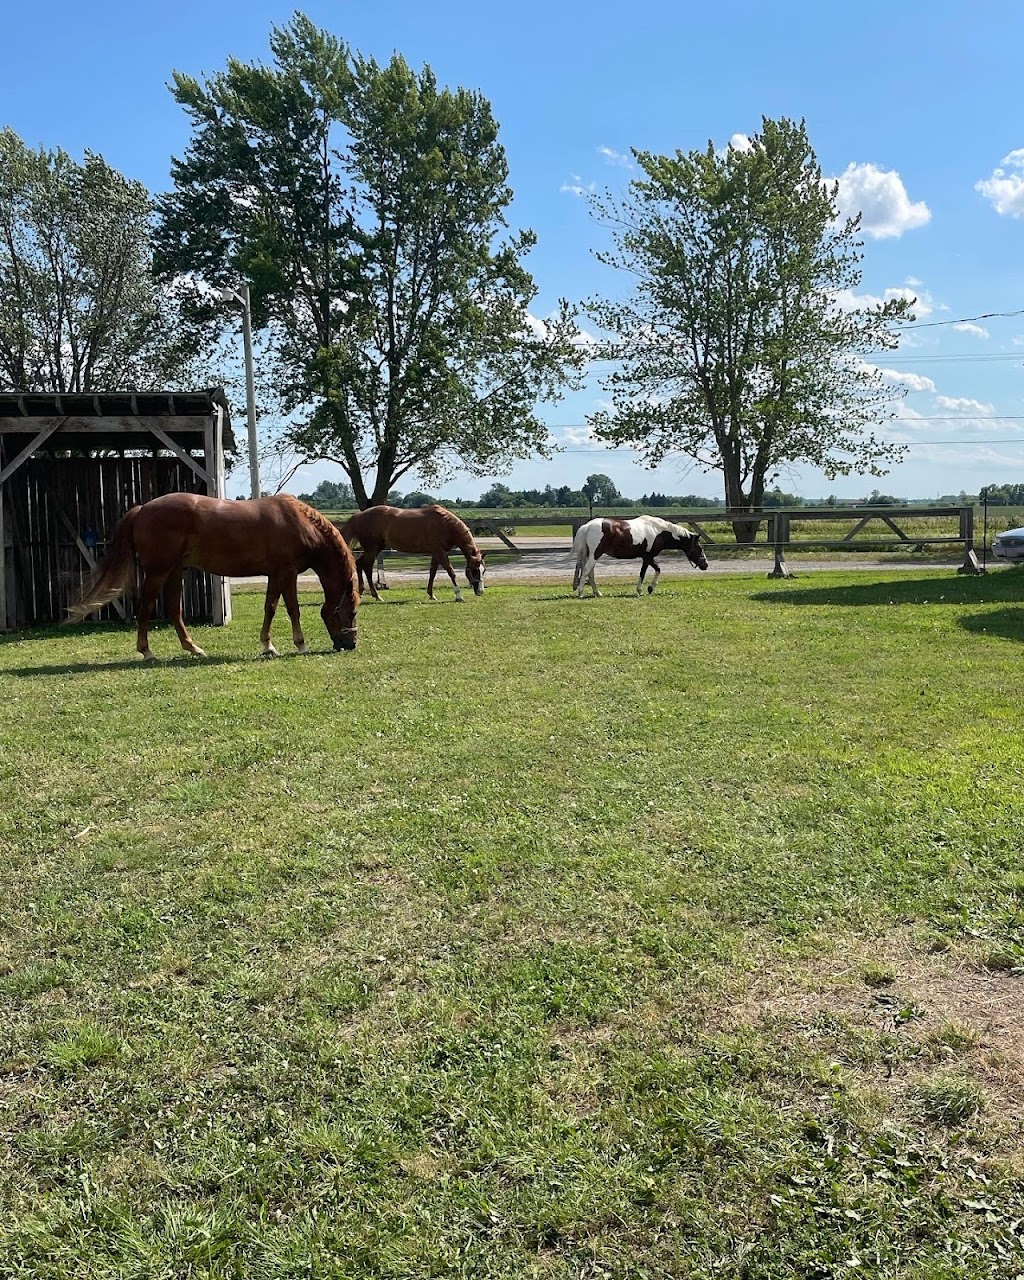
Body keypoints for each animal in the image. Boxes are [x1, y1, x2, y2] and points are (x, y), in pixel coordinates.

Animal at [63, 491, 360, 660]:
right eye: (352, 611)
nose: (351, 644)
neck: (300, 523)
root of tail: (142, 509)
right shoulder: (286, 573)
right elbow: (292, 609)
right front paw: (300, 645)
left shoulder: (275, 575)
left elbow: (270, 608)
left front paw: (268, 645)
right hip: (158, 572)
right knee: (146, 609)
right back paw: (147, 652)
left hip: (175, 571)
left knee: (174, 611)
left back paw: (193, 649)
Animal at [337, 501, 486, 601]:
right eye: (474, 570)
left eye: (483, 570)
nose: (480, 591)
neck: (444, 524)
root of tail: (359, 515)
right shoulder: (440, 552)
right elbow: (451, 572)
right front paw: (458, 596)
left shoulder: (436, 553)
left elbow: (432, 573)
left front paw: (431, 594)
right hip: (372, 549)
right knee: (367, 568)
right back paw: (377, 596)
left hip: (376, 549)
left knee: (360, 564)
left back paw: (362, 592)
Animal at [570, 514, 706, 599]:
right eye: (699, 549)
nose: (705, 565)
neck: (659, 531)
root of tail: (587, 526)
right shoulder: (648, 557)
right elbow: (644, 572)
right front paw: (641, 590)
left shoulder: (648, 557)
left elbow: (657, 569)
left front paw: (650, 588)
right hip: (595, 555)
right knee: (586, 571)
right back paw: (581, 593)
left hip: (592, 555)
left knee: (590, 573)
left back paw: (597, 593)